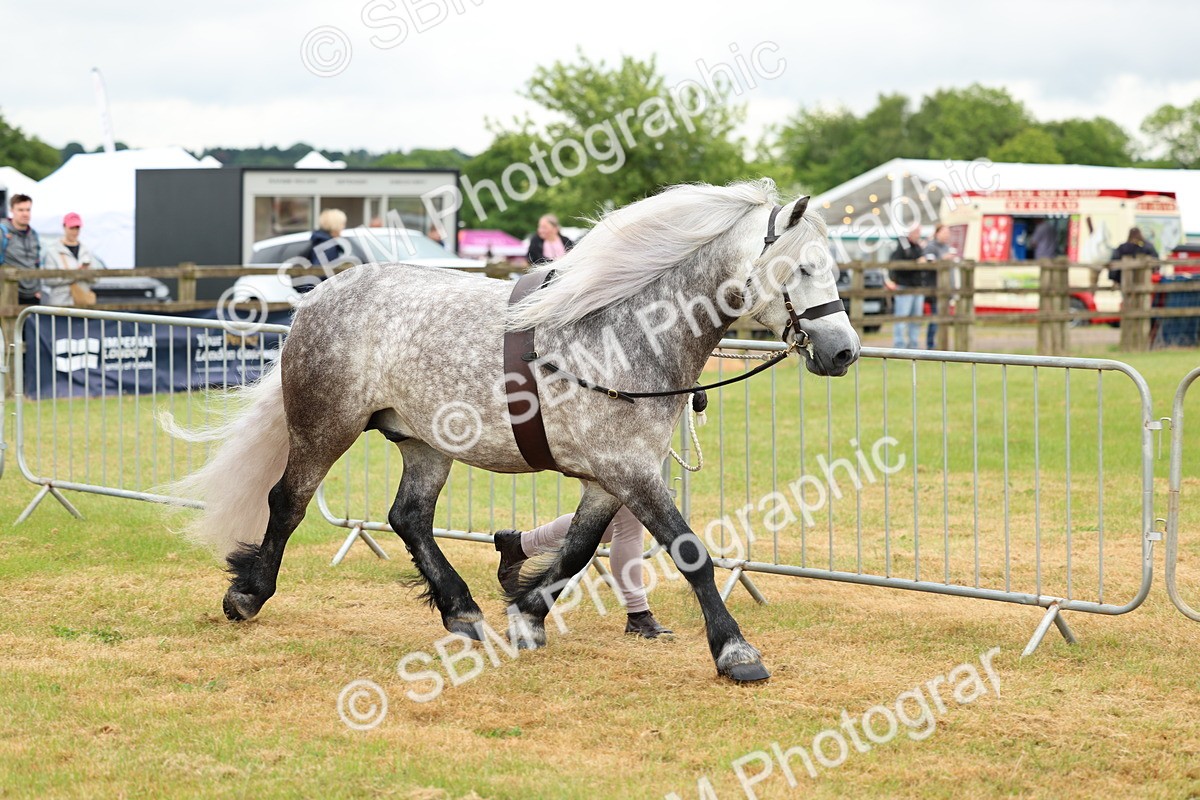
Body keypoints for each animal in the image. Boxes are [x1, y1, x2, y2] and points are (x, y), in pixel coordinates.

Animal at [163, 179, 861, 683]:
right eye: (802, 270)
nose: (844, 351)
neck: (626, 331)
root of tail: (316, 298)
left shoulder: (610, 479)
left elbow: (577, 551)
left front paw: (526, 615)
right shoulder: (631, 473)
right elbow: (691, 553)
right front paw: (736, 653)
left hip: (425, 443)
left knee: (408, 517)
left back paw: (463, 611)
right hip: (325, 426)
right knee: (287, 503)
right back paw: (248, 595)